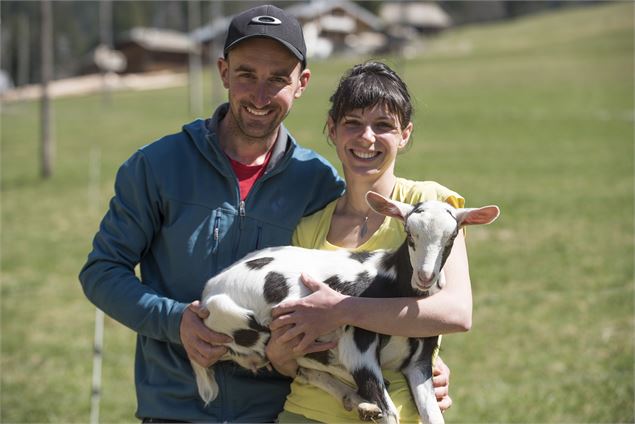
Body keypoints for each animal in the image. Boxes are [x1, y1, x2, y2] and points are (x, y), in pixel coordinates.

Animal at [191, 192, 500, 424]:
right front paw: (373, 402)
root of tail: (208, 292)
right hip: (246, 324)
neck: (389, 283)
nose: (425, 277)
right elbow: (390, 412)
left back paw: (357, 401)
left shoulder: (419, 361)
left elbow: (433, 416)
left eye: (452, 237)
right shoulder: (359, 349)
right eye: (409, 233)